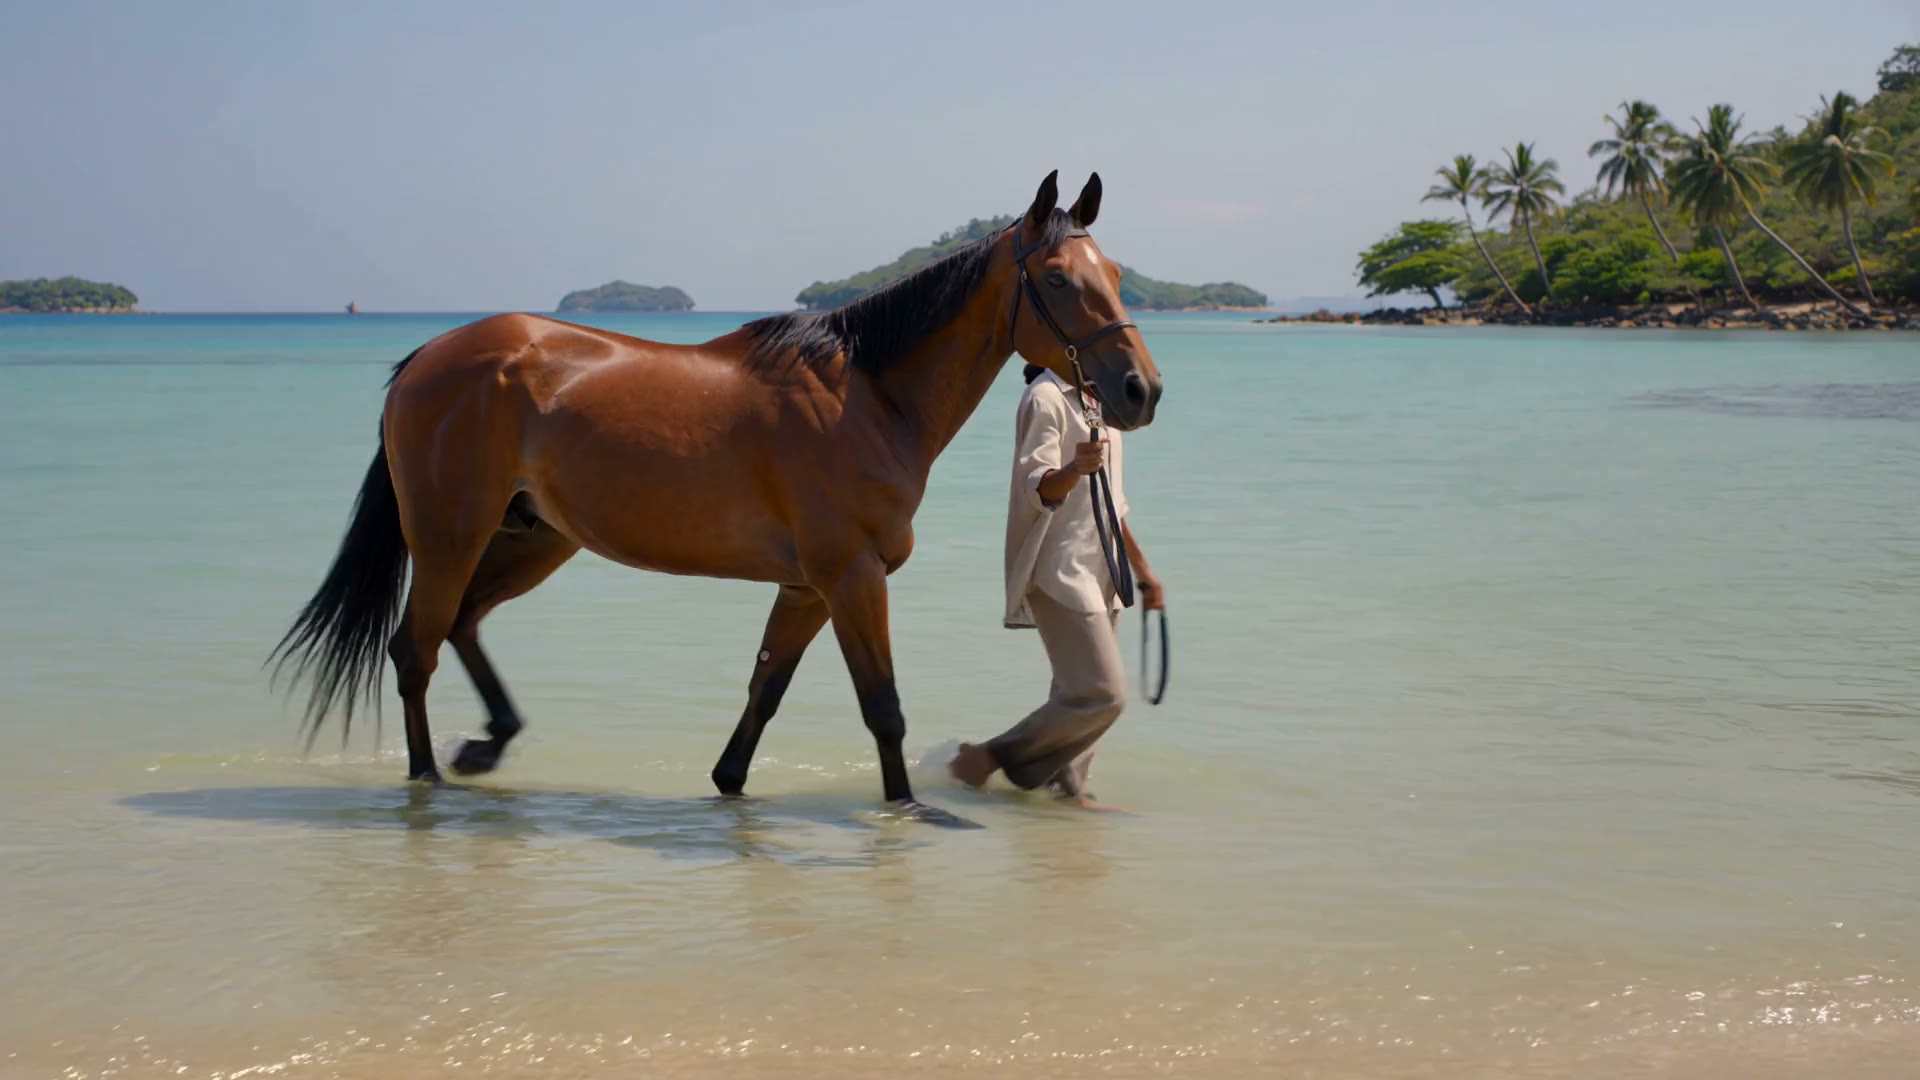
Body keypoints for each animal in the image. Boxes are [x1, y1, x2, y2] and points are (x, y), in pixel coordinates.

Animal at [268, 170, 1162, 825]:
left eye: (1117, 275)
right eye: (1057, 278)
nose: (1139, 389)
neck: (868, 397)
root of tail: (425, 357)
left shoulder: (805, 587)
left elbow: (764, 696)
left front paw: (730, 782)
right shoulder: (851, 577)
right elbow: (883, 707)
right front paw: (907, 809)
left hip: (534, 539)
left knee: (459, 628)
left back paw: (485, 748)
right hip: (450, 537)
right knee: (414, 649)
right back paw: (430, 780)